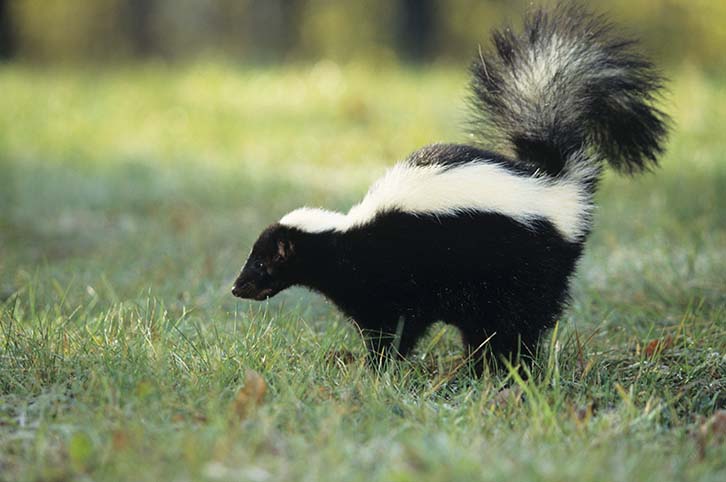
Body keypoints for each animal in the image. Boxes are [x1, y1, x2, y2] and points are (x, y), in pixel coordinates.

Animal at [233, 4, 672, 372]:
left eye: (262, 263)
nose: (237, 288)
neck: (345, 238)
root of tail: (554, 181)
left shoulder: (391, 282)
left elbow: (395, 328)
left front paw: (379, 367)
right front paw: (378, 365)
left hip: (523, 271)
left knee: (522, 322)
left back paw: (512, 368)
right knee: (487, 328)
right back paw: (481, 365)